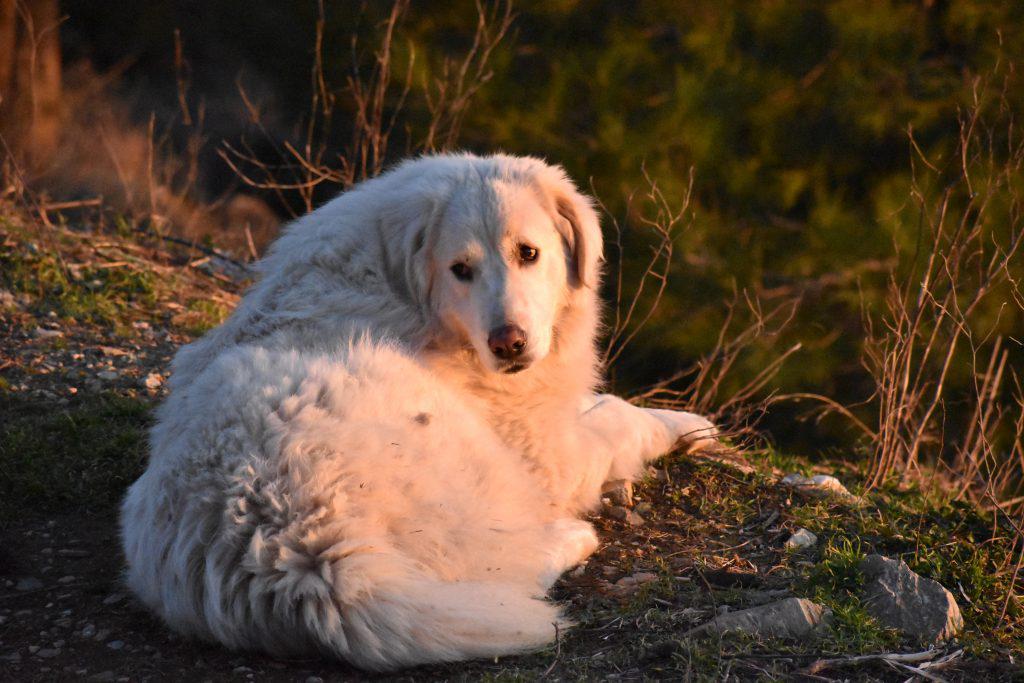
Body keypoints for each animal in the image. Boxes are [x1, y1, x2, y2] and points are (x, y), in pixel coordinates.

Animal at [119, 152, 716, 671]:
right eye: (460, 269)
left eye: (528, 253)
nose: (509, 343)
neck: (401, 284)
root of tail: (303, 559)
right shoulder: (545, 450)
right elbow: (621, 418)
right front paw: (691, 426)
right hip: (469, 456)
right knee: (513, 564)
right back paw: (572, 536)